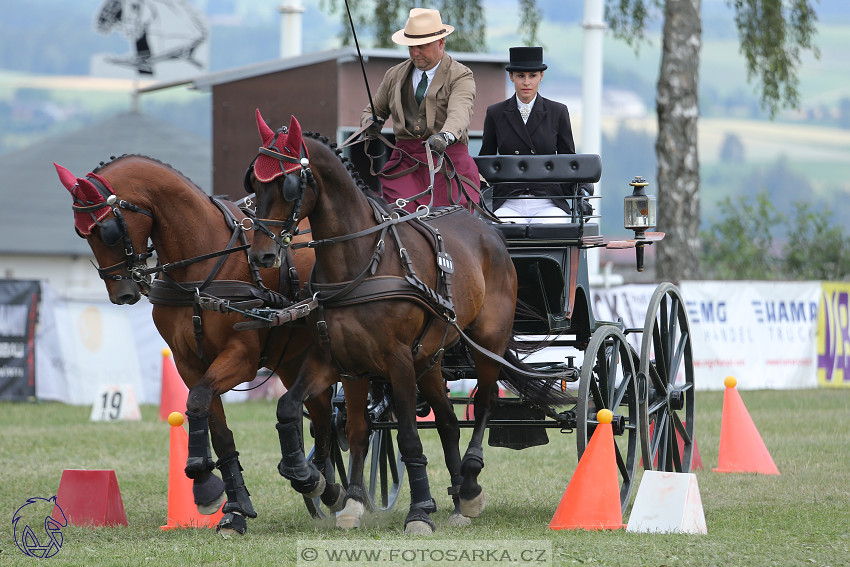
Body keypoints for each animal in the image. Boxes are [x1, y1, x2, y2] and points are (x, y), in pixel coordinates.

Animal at [51, 156, 360, 536]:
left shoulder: (241, 357)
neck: (200, 269)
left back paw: (331, 487)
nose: (121, 293)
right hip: (292, 361)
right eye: (82, 232)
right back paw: (320, 483)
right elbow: (215, 425)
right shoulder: (189, 362)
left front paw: (203, 480)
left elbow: (198, 400)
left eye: (107, 229)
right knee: (321, 416)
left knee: (346, 422)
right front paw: (233, 507)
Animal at [242, 112, 568, 536]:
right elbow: (328, 421)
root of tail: (488, 230)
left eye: (289, 184)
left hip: (486, 342)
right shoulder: (341, 363)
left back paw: (470, 482)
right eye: (253, 183)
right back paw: (459, 497)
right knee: (447, 421)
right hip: (430, 359)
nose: (262, 255)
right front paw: (325, 486)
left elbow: (410, 438)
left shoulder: (396, 362)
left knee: (483, 404)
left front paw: (419, 511)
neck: (361, 264)